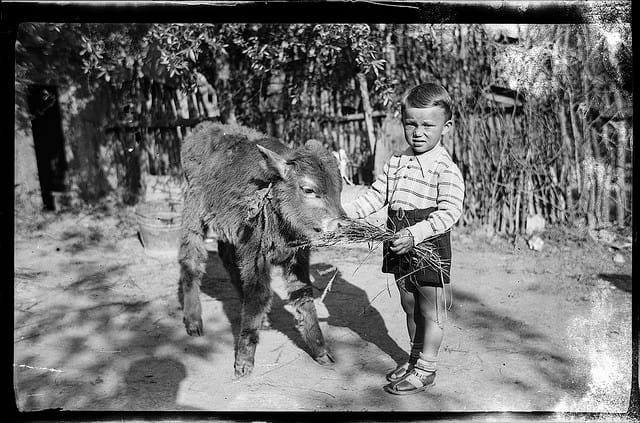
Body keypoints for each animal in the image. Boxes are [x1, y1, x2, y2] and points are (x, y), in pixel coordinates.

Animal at [178, 122, 345, 377]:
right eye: (308, 189)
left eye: (340, 187)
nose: (339, 224)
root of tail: (203, 129)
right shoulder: (255, 254)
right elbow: (258, 294)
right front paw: (243, 362)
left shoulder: (297, 257)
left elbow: (303, 296)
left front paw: (321, 351)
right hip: (193, 212)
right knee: (191, 261)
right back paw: (193, 321)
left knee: (227, 259)